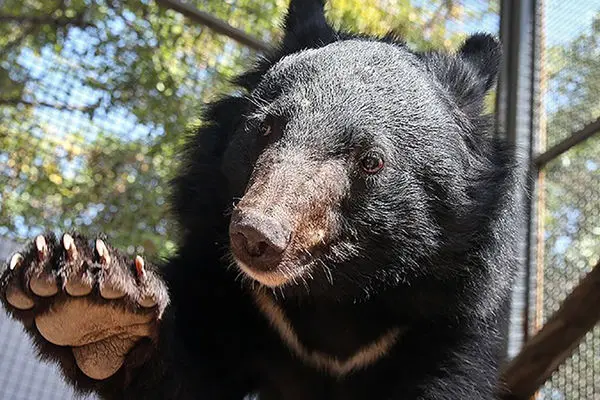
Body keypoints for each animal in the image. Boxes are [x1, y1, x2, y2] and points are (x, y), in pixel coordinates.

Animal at [2, 1, 524, 398]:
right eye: (267, 128)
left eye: (371, 160)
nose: (256, 236)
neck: (333, 297)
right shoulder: (234, 297)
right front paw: (89, 299)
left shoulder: (448, 324)